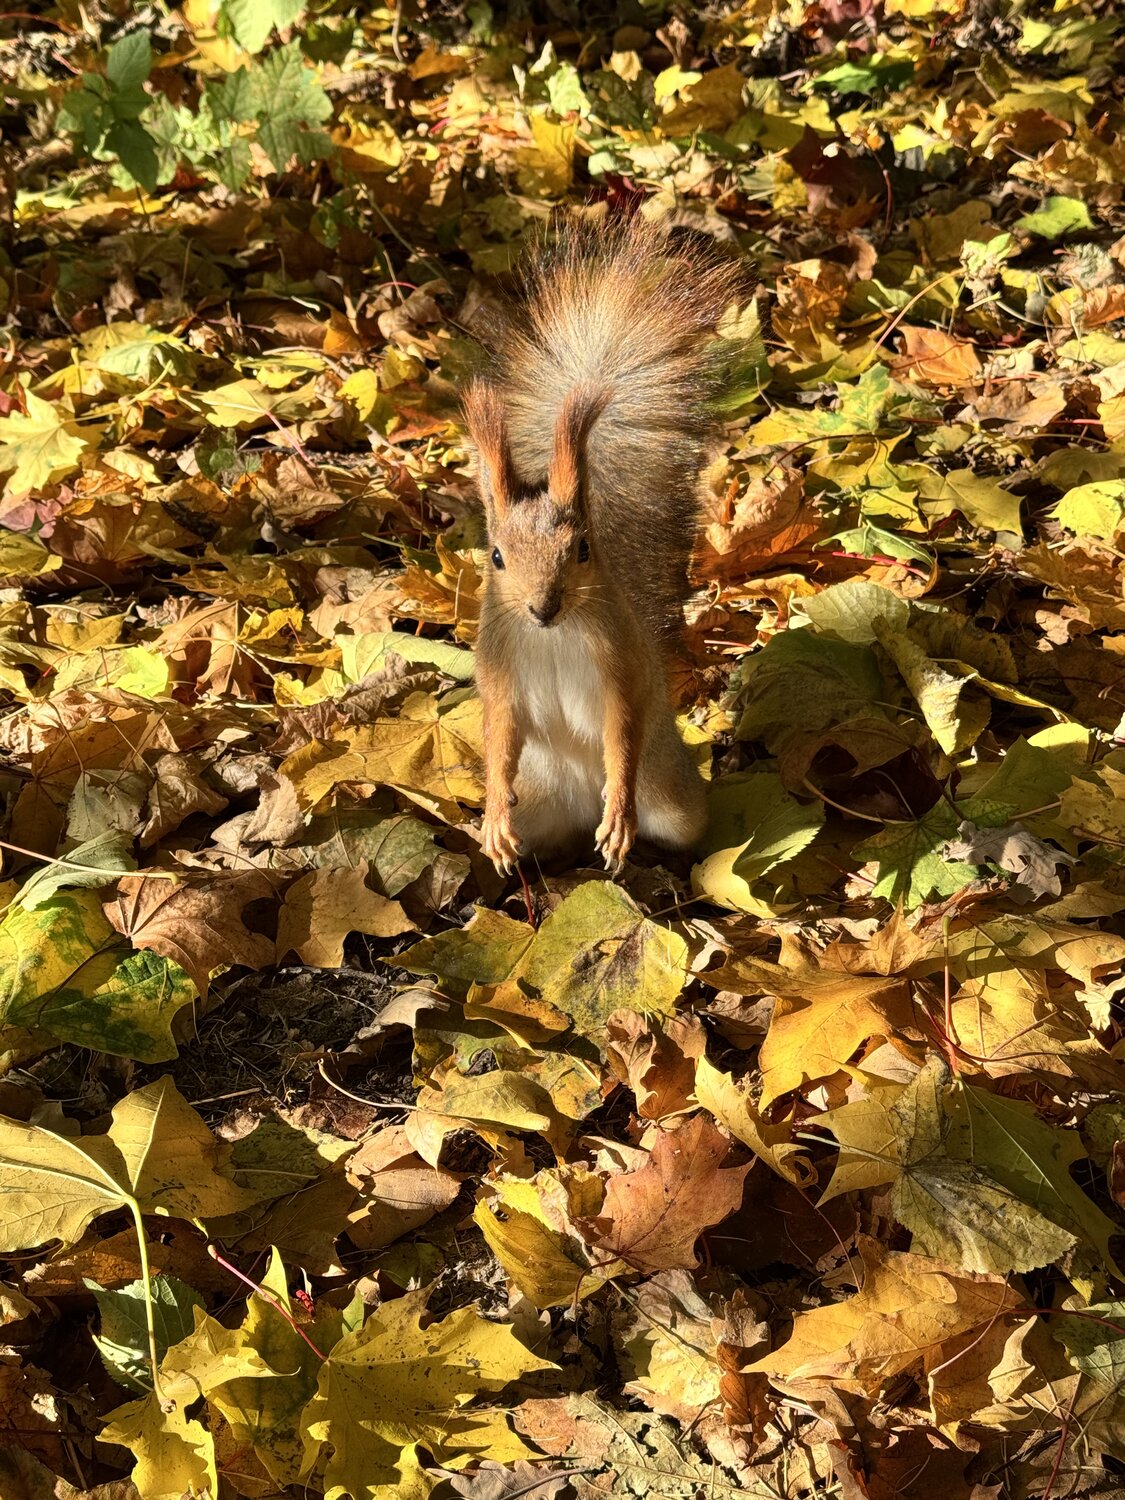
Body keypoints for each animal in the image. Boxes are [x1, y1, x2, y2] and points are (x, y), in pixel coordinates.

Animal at [463, 215, 743, 874]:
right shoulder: (498, 670)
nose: (543, 607)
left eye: (583, 550)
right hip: (541, 802)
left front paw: (618, 814)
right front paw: (494, 817)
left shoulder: (620, 662)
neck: (554, 636)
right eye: (496, 556)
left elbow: (623, 728)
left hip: (671, 796)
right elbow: (499, 735)